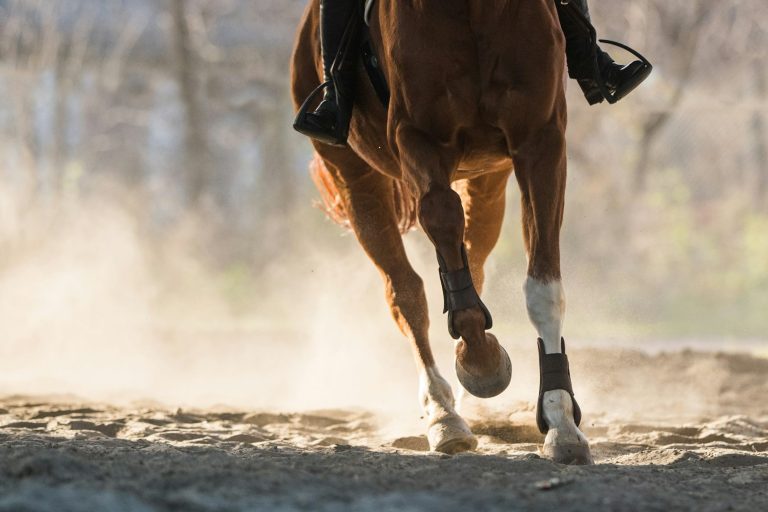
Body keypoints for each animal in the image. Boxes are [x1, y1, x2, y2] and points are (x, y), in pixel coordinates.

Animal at [291, 0, 592, 465]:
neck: (472, 8)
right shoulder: (417, 138)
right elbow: (441, 218)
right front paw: (481, 362)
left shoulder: (540, 141)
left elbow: (543, 287)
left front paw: (560, 421)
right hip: (354, 177)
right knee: (405, 291)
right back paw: (443, 415)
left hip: (488, 179)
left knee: (472, 259)